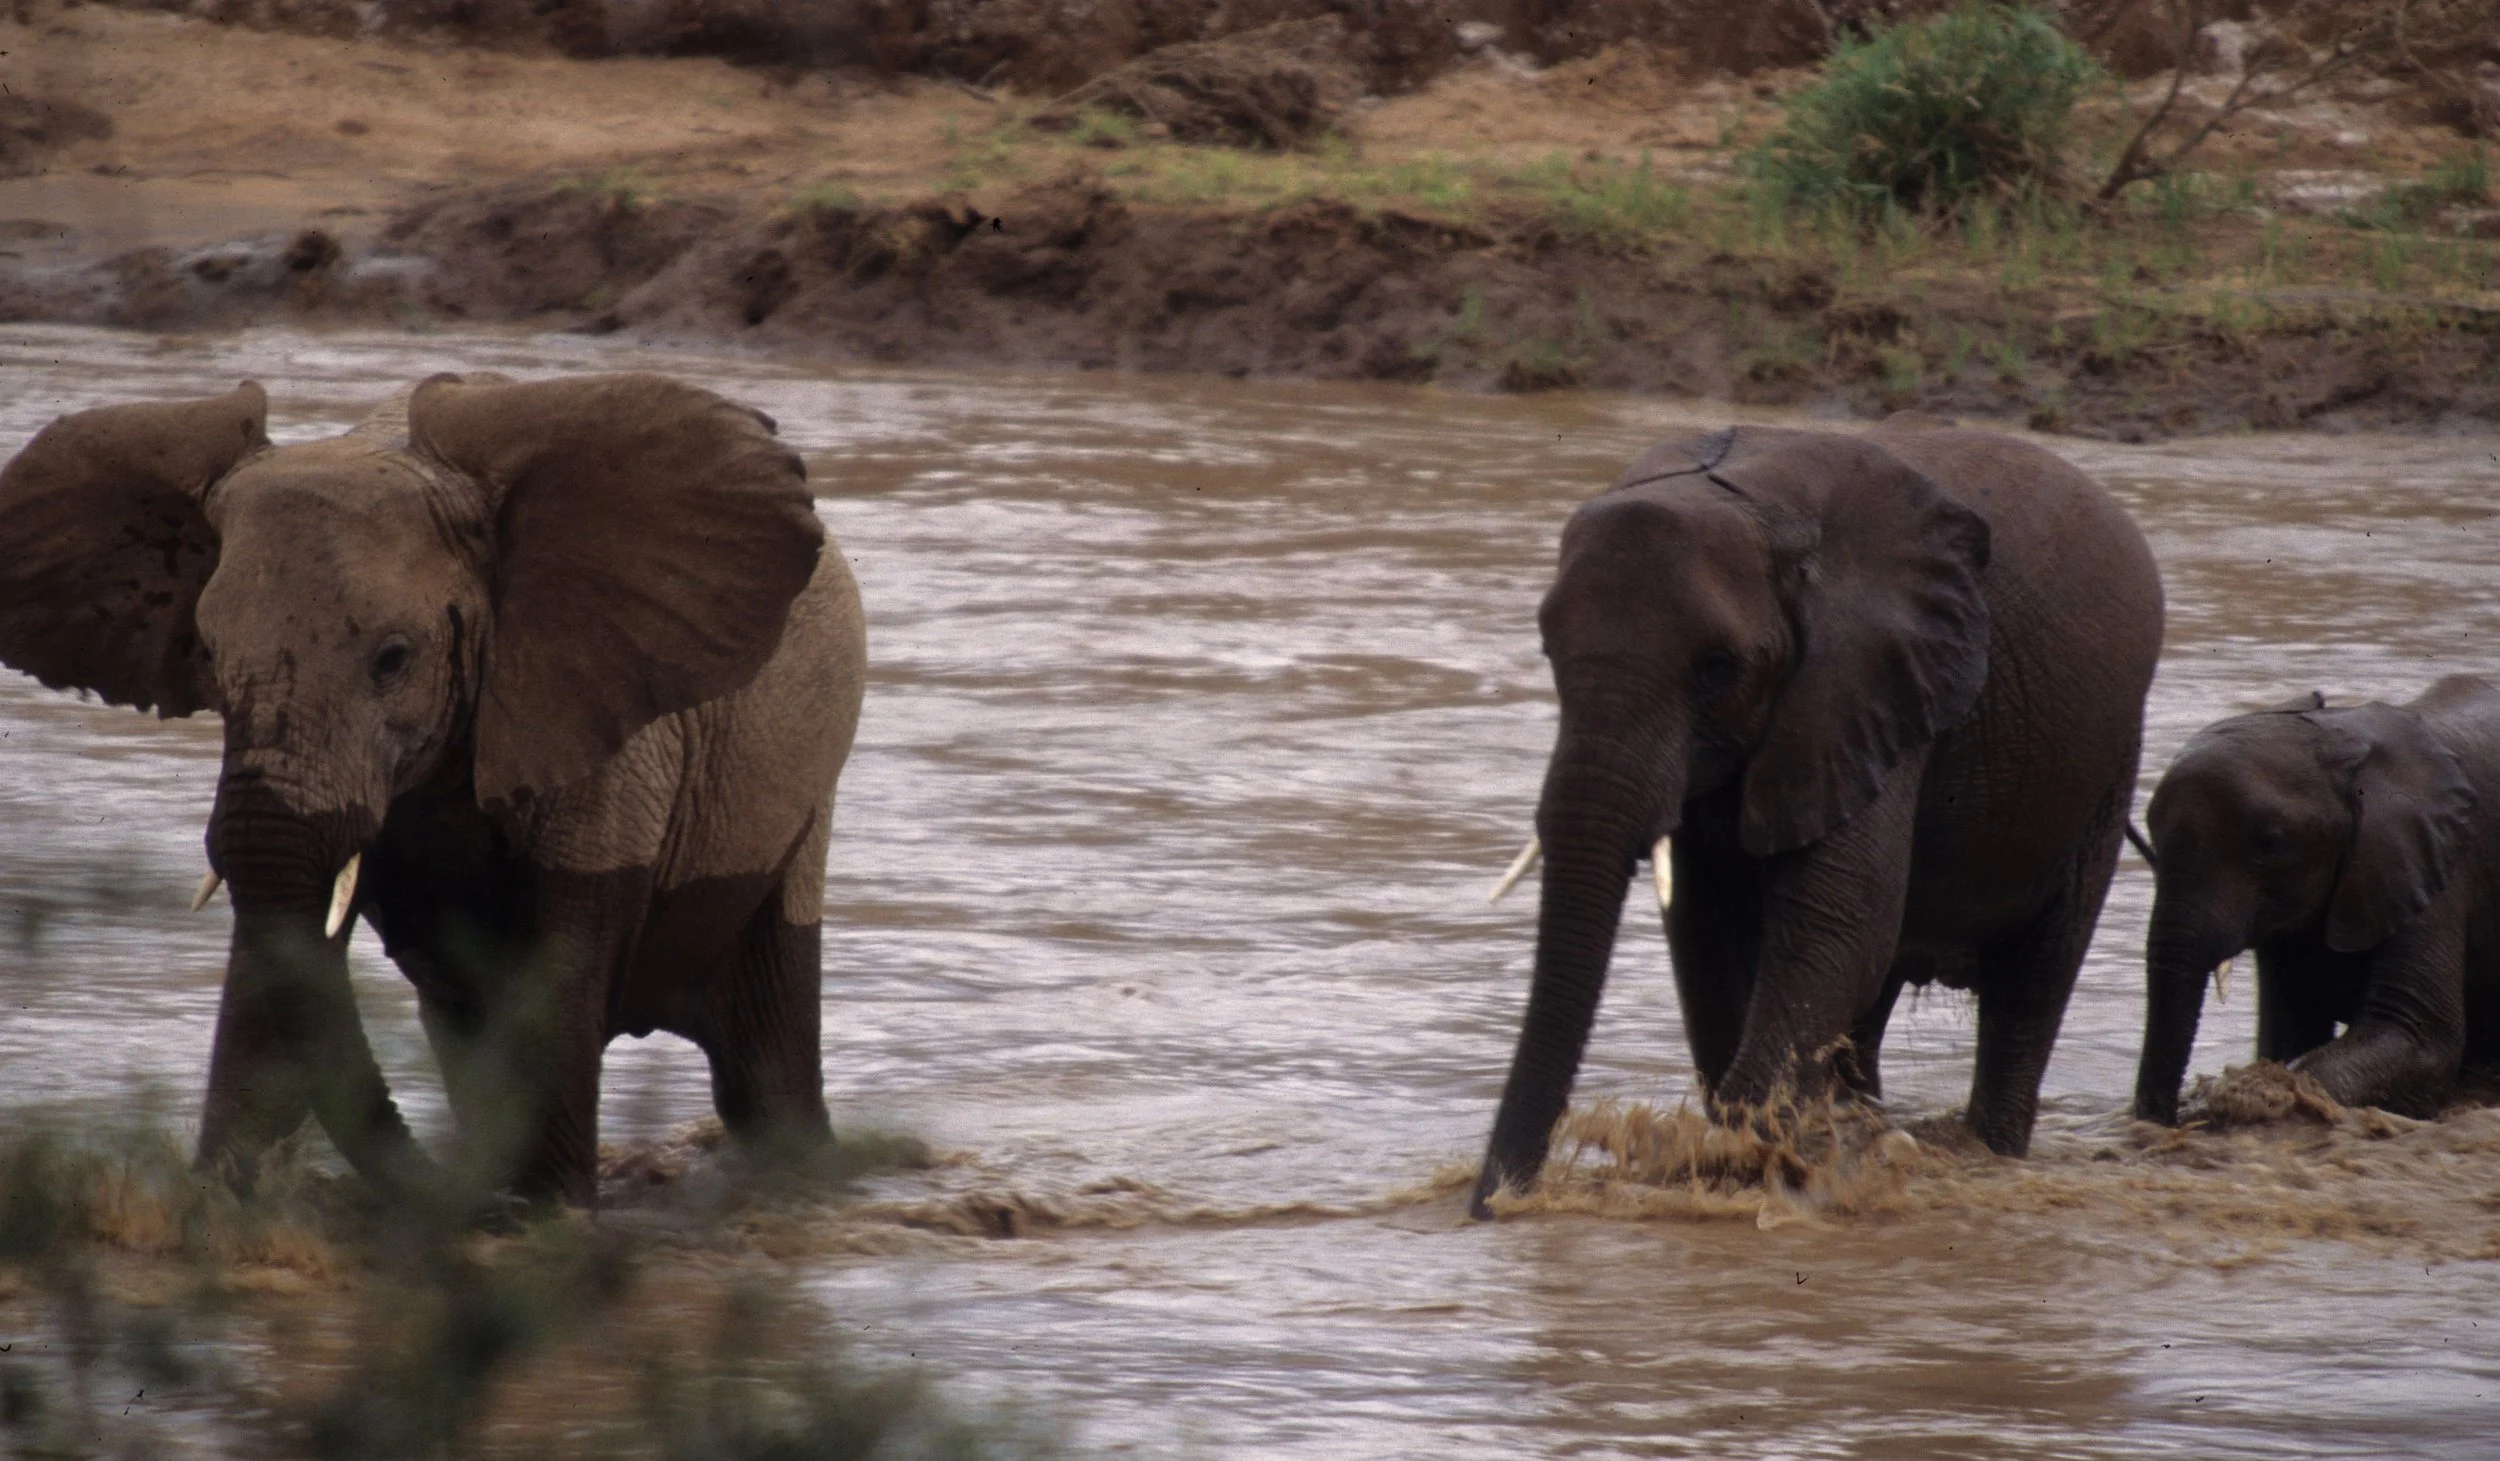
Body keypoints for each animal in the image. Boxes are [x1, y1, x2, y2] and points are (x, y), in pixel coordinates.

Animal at [0, 372, 866, 1207]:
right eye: (209, 653)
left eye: (393, 658)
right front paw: (220, 1203)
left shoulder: (602, 717)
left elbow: (557, 972)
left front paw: (545, 1213)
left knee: (765, 1057)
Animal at [1471, 415, 2163, 1218]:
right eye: (1547, 649)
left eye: (1718, 668)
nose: (1491, 1208)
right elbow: (1710, 939)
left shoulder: (1873, 686)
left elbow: (1835, 927)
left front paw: (1748, 1163)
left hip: (2105, 761)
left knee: (2031, 984)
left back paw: (1986, 1152)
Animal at [2132, 677, 2500, 1123]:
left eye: (2269, 844)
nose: (2169, 1116)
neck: (2347, 739)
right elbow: (2291, 1032)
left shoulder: (2437, 866)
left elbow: (2416, 1037)